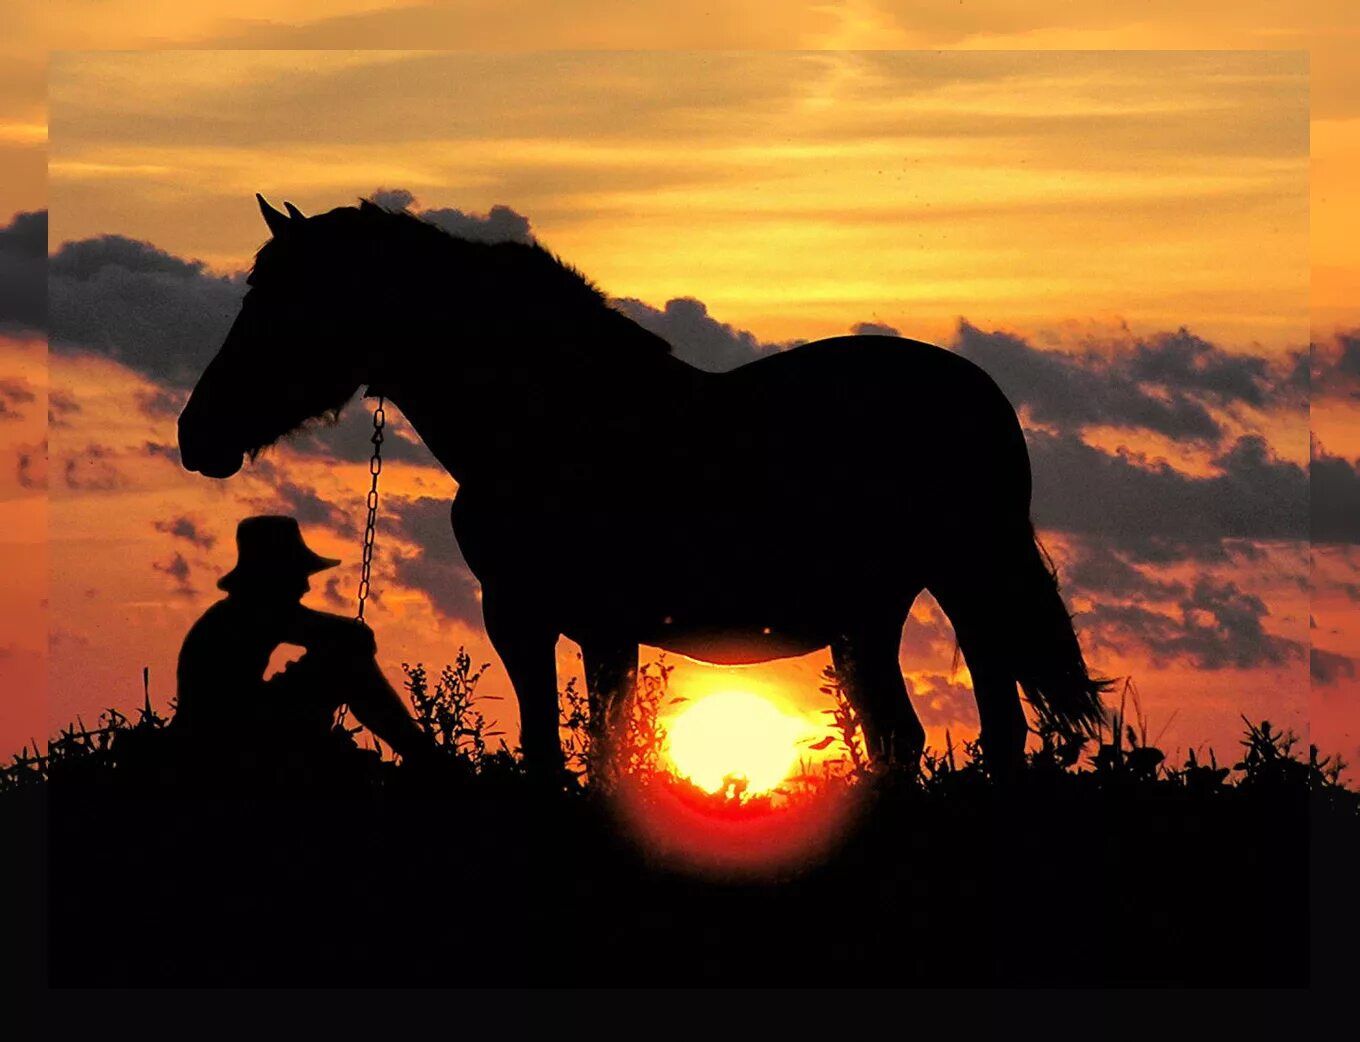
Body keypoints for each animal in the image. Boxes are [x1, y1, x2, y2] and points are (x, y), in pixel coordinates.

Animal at [178, 198, 1104, 783]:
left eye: (282, 301)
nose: (198, 433)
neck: (553, 416)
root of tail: (979, 393)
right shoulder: (547, 622)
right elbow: (564, 746)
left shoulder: (573, 620)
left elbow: (590, 748)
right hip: (872, 614)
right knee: (902, 737)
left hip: (968, 585)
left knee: (998, 729)